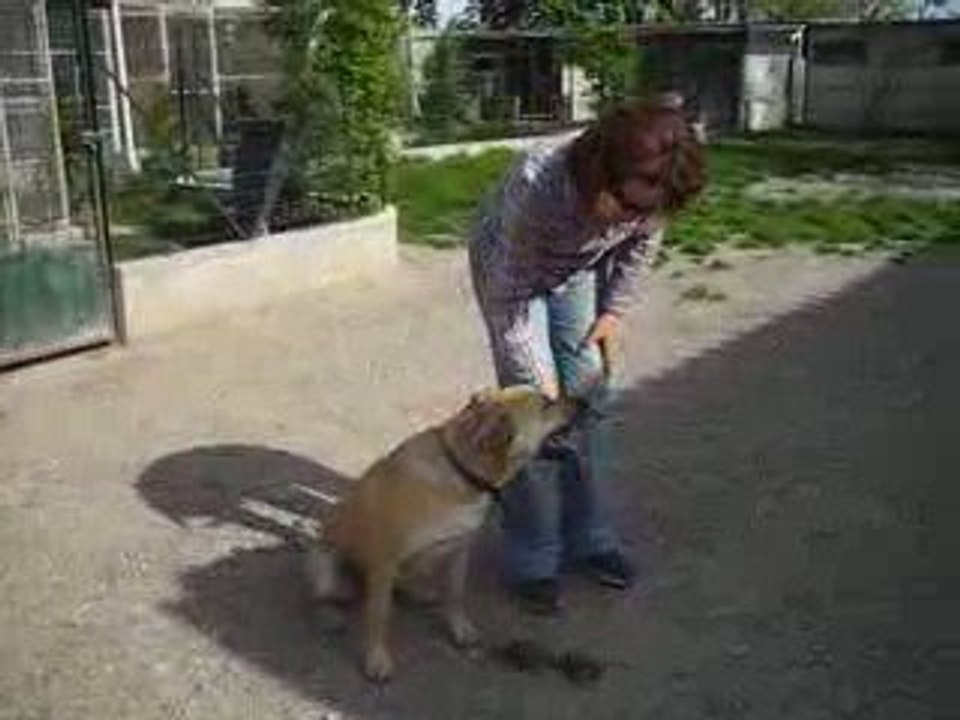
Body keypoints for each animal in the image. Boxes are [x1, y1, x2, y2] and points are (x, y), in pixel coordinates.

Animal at [304, 385, 581, 682]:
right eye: (545, 404)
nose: (584, 401)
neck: (461, 473)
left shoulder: (460, 548)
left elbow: (455, 594)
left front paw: (460, 630)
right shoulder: (385, 559)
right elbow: (379, 616)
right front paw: (377, 659)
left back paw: (418, 592)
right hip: (325, 568)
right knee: (326, 596)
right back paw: (330, 615)